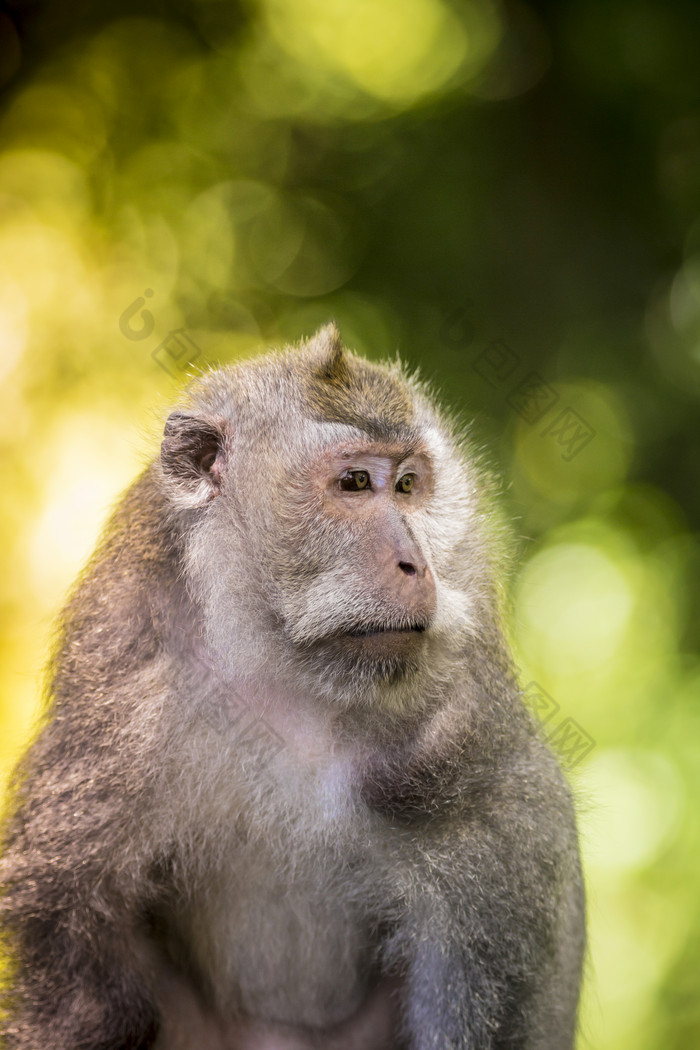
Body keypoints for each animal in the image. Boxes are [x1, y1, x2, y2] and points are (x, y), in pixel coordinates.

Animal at [0, 323, 587, 1045]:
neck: (290, 678)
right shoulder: (120, 721)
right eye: (356, 482)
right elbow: (83, 989)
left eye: (410, 485)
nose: (415, 563)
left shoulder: (476, 767)